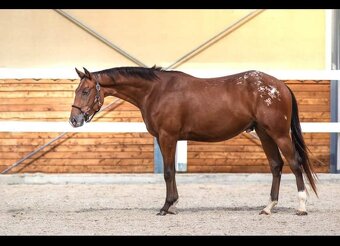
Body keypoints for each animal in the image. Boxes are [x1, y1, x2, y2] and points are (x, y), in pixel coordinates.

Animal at [69, 66, 318, 216]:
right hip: (264, 133)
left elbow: (168, 172)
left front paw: (166, 206)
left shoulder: (167, 136)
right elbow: (172, 172)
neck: (156, 91)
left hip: (279, 133)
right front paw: (173, 205)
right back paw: (268, 207)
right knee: (276, 165)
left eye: (85, 91)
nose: (74, 119)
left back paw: (301, 206)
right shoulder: (167, 138)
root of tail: (281, 85)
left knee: (295, 164)